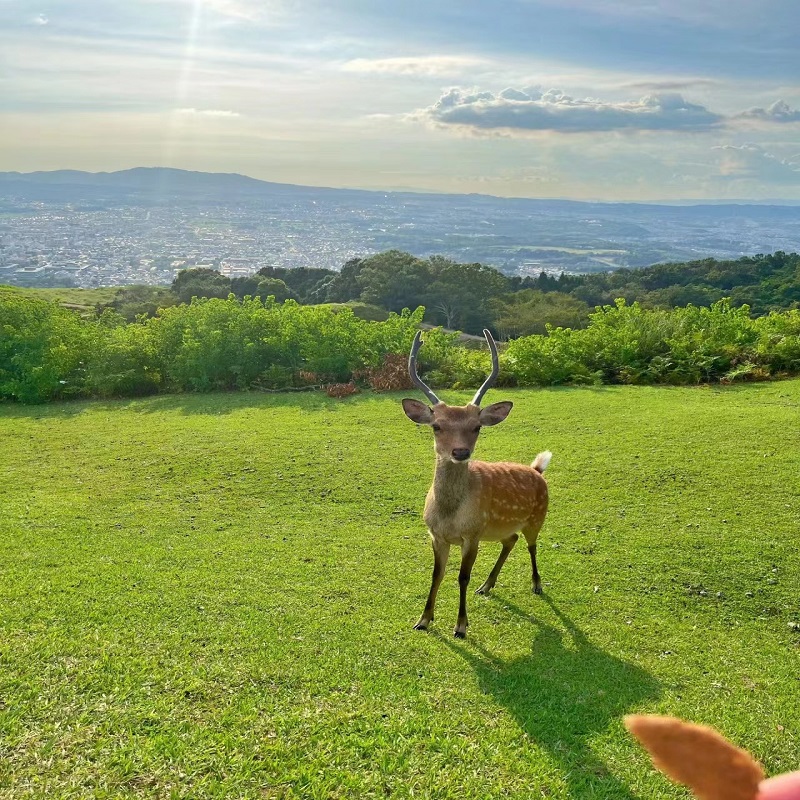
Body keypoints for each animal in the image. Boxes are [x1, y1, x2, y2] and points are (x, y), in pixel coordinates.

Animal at [400, 330, 552, 636]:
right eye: (437, 426)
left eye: (477, 427)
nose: (460, 452)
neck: (449, 515)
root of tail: (538, 470)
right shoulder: (436, 535)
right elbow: (437, 574)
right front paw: (423, 619)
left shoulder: (472, 535)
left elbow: (462, 577)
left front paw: (461, 626)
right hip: (498, 528)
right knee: (511, 539)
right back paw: (487, 585)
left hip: (536, 517)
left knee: (531, 544)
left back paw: (537, 584)